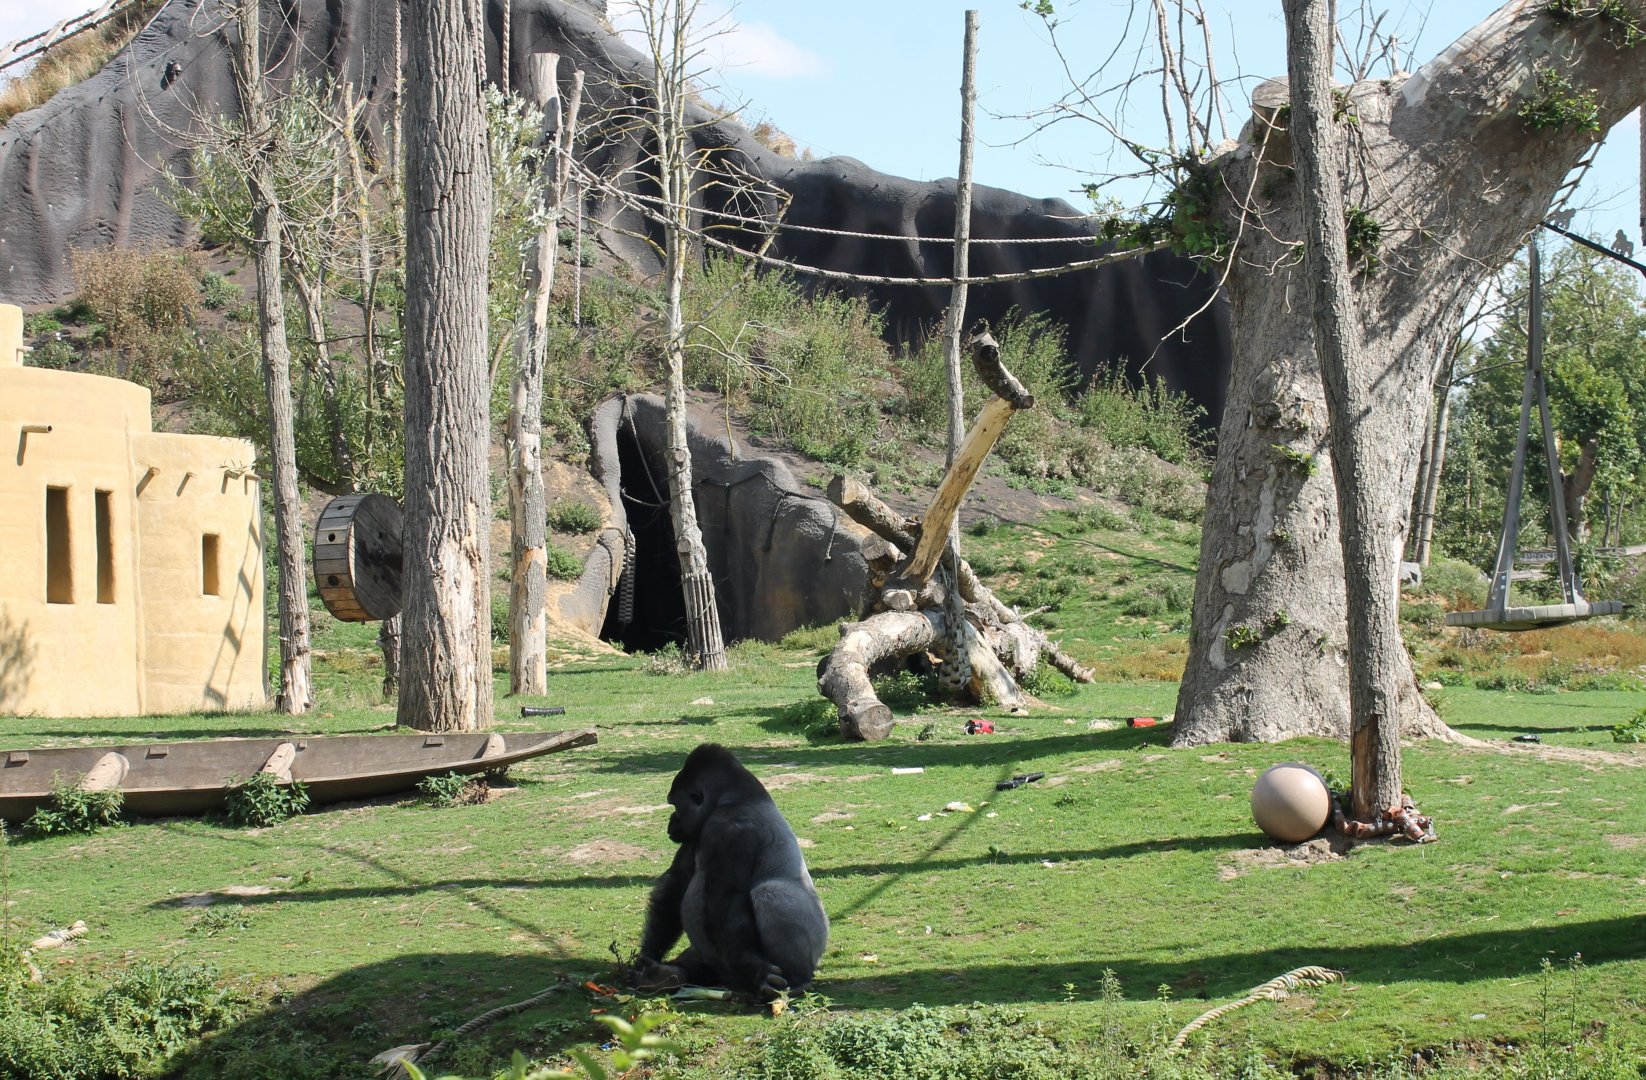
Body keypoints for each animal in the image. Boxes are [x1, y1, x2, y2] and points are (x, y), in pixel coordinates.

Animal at [630, 743, 828, 1001]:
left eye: (675, 806)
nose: (671, 820)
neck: (731, 798)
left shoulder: (730, 828)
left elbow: (726, 901)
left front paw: (757, 972)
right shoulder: (695, 834)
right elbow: (674, 890)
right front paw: (648, 955)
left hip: (815, 943)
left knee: (770, 892)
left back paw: (797, 978)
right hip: (718, 967)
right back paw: (668, 974)